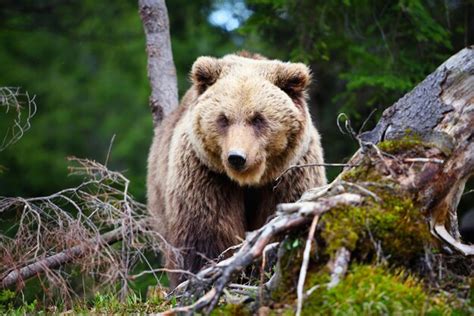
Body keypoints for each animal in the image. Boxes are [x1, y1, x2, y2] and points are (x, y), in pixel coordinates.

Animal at [147, 52, 326, 286]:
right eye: (223, 118)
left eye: (258, 118)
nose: (237, 157)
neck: (249, 181)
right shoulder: (206, 175)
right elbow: (206, 233)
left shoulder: (289, 176)